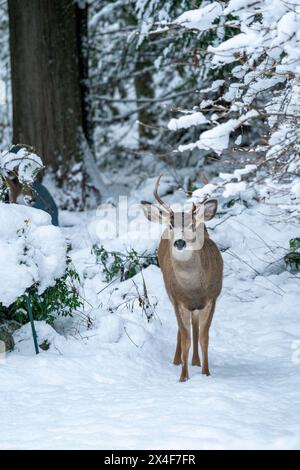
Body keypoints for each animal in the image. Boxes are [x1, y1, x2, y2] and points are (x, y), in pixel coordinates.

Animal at [141, 176, 223, 382]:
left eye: (192, 225)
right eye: (171, 225)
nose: (179, 242)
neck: (193, 289)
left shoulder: (212, 298)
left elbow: (204, 337)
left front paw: (206, 373)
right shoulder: (179, 300)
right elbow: (186, 338)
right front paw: (183, 377)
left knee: (195, 326)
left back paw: (196, 361)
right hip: (171, 296)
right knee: (183, 329)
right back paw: (179, 360)